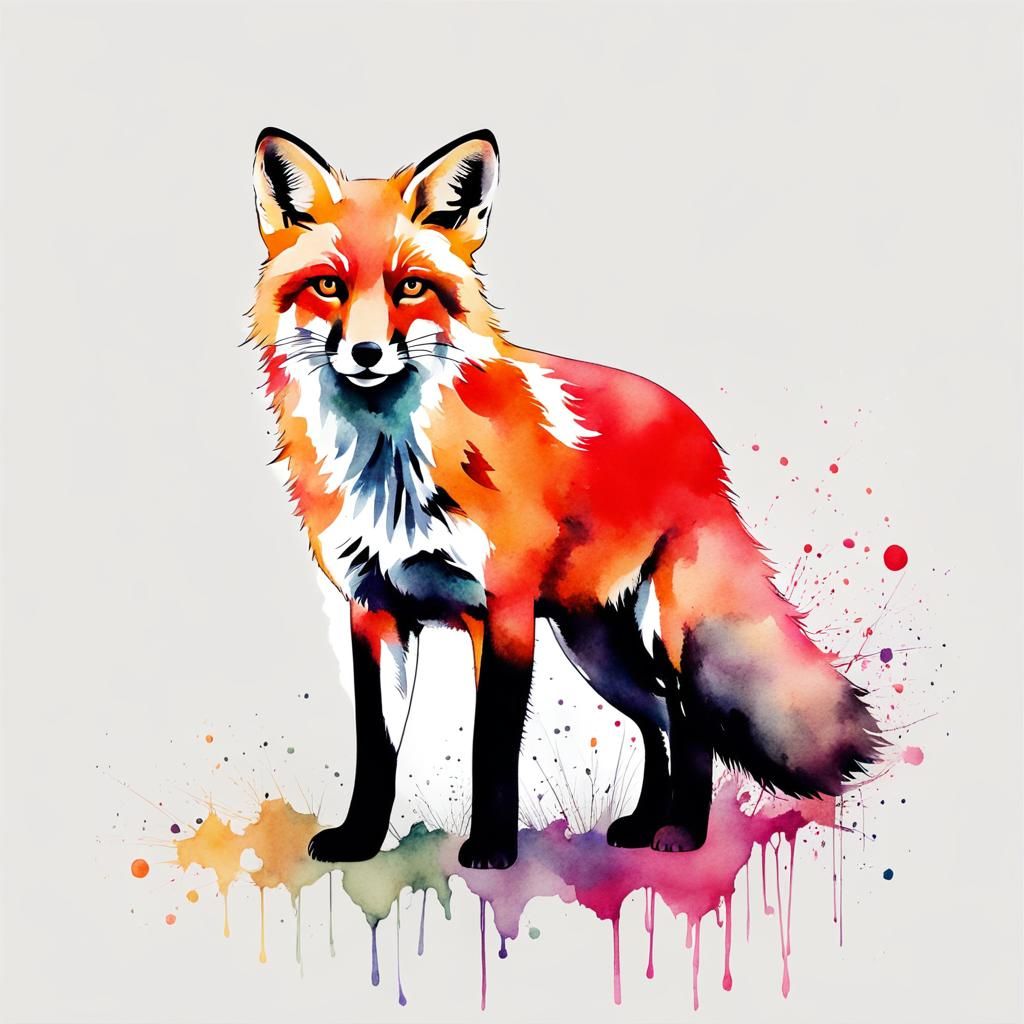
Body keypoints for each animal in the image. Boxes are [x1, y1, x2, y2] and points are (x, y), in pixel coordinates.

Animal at [248, 127, 883, 870]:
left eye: (411, 287)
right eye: (328, 285)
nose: (368, 352)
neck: (394, 472)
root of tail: (700, 435)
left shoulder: (503, 610)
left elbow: (490, 747)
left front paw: (492, 849)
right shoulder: (373, 609)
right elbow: (375, 750)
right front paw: (358, 840)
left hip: (659, 629)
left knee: (690, 719)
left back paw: (683, 833)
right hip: (595, 643)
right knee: (660, 718)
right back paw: (645, 822)